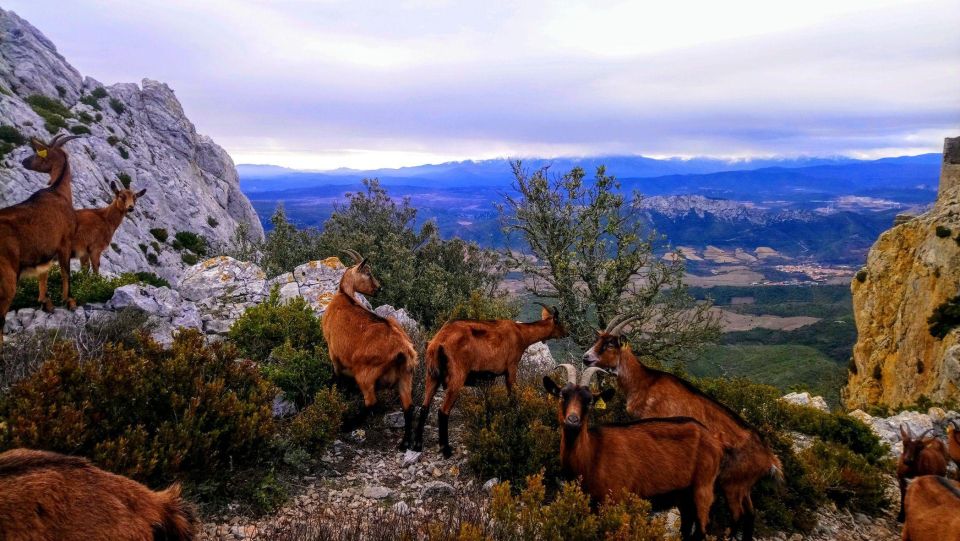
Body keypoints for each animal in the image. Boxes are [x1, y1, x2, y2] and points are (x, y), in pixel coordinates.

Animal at [414, 302, 568, 458]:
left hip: (431, 376)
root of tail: (437, 342)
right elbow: (512, 396)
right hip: (457, 377)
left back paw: (417, 445)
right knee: (443, 411)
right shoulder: (511, 367)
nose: (566, 333)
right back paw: (446, 449)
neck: (521, 333)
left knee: (424, 407)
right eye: (558, 321)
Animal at [544, 362, 724, 540]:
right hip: (683, 496)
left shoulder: (615, 500)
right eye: (562, 395)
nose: (572, 421)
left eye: (589, 401)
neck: (592, 455)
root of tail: (714, 440)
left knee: (701, 529)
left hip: (703, 488)